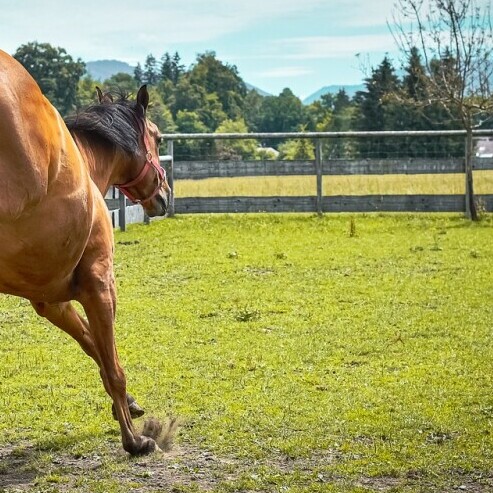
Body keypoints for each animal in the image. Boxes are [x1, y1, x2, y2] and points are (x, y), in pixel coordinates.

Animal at [0, 50, 171, 454]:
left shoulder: (52, 301)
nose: (164, 194)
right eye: (158, 137)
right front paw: (134, 440)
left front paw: (129, 406)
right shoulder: (100, 284)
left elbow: (94, 346)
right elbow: (111, 365)